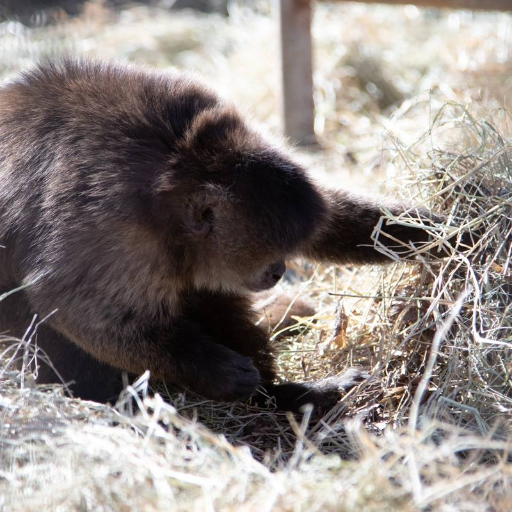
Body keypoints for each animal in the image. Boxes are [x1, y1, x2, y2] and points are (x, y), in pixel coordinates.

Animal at [0, 60, 444, 412]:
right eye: (270, 256)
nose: (279, 270)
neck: (177, 166)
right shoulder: (112, 229)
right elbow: (66, 305)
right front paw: (219, 373)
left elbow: (330, 220)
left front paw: (452, 231)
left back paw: (286, 396)